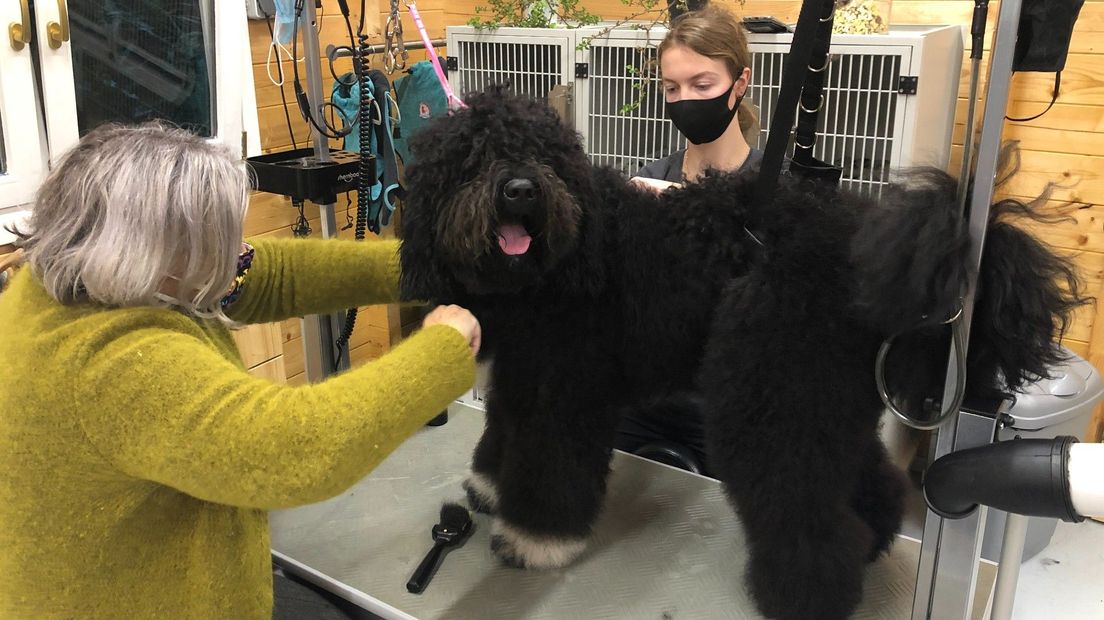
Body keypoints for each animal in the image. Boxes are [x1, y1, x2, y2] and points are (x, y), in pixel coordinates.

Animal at [395, 88, 1077, 617]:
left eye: (545, 155)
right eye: (473, 157)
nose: (519, 190)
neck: (559, 262)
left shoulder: (568, 391)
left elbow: (549, 469)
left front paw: (534, 540)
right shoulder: (522, 377)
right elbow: (500, 439)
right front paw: (488, 488)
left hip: (769, 394)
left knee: (804, 509)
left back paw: (807, 594)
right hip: (822, 394)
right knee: (862, 479)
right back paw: (874, 541)